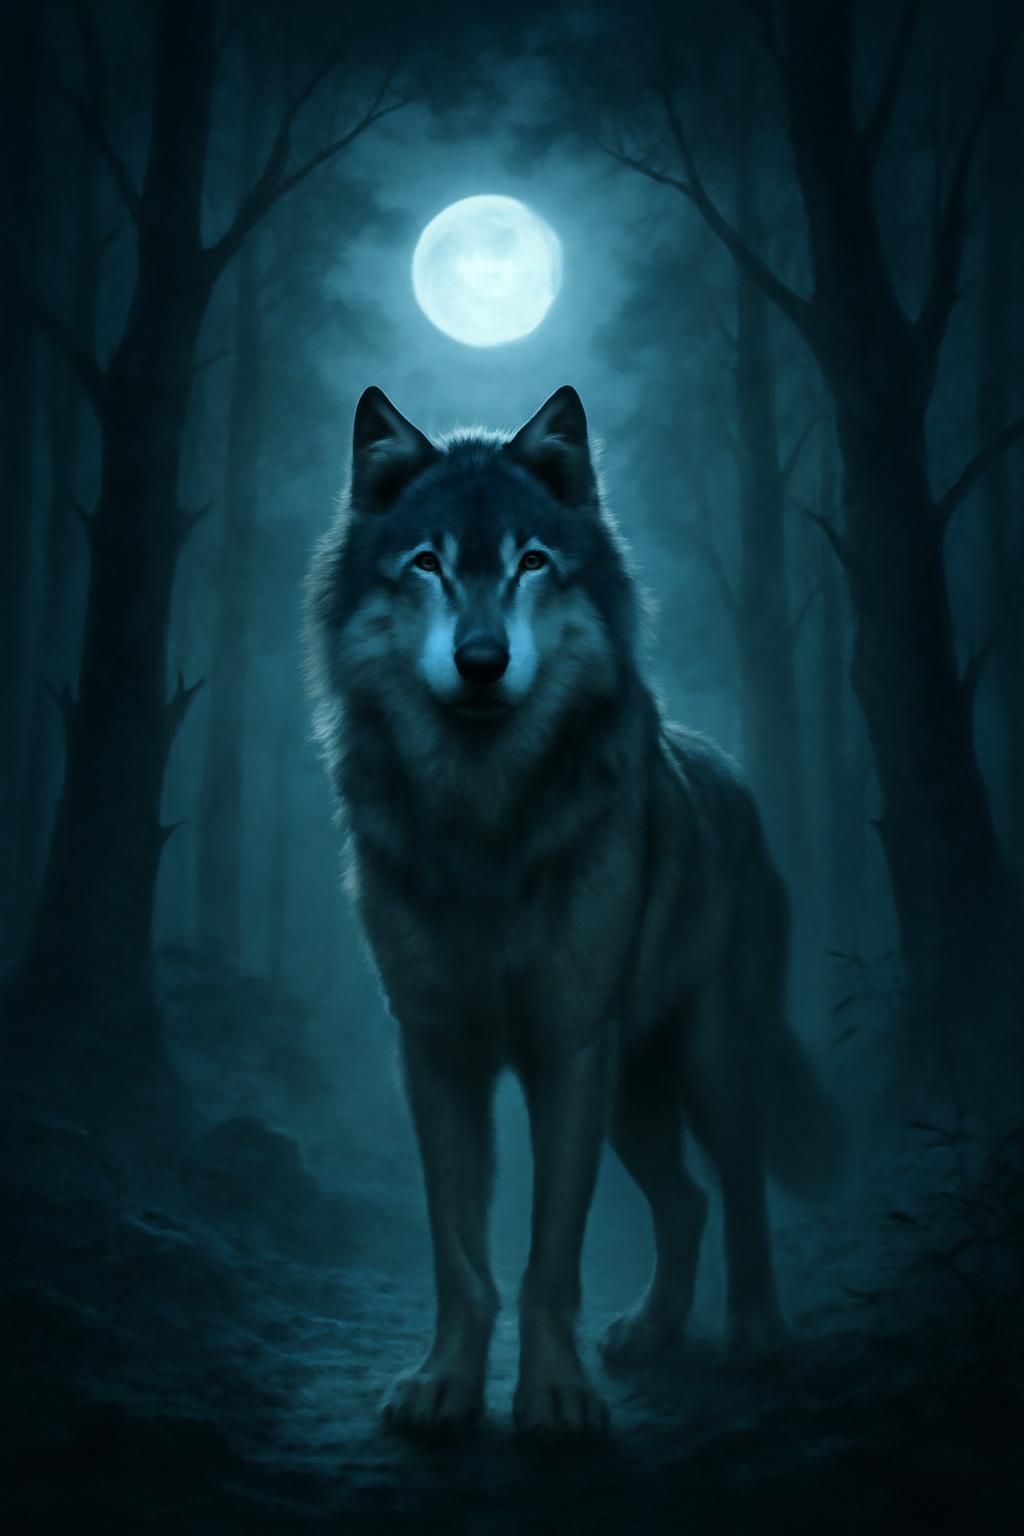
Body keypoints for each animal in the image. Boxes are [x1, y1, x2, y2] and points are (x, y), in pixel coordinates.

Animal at [306, 384, 842, 1443]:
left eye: (531, 562)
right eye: (427, 563)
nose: (481, 660)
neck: (482, 818)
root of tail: (730, 774)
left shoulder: (567, 1048)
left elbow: (550, 1254)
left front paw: (554, 1397)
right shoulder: (436, 1052)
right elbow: (460, 1252)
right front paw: (444, 1386)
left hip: (706, 1064)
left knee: (742, 1189)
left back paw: (758, 1332)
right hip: (633, 1096)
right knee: (685, 1201)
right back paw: (651, 1332)